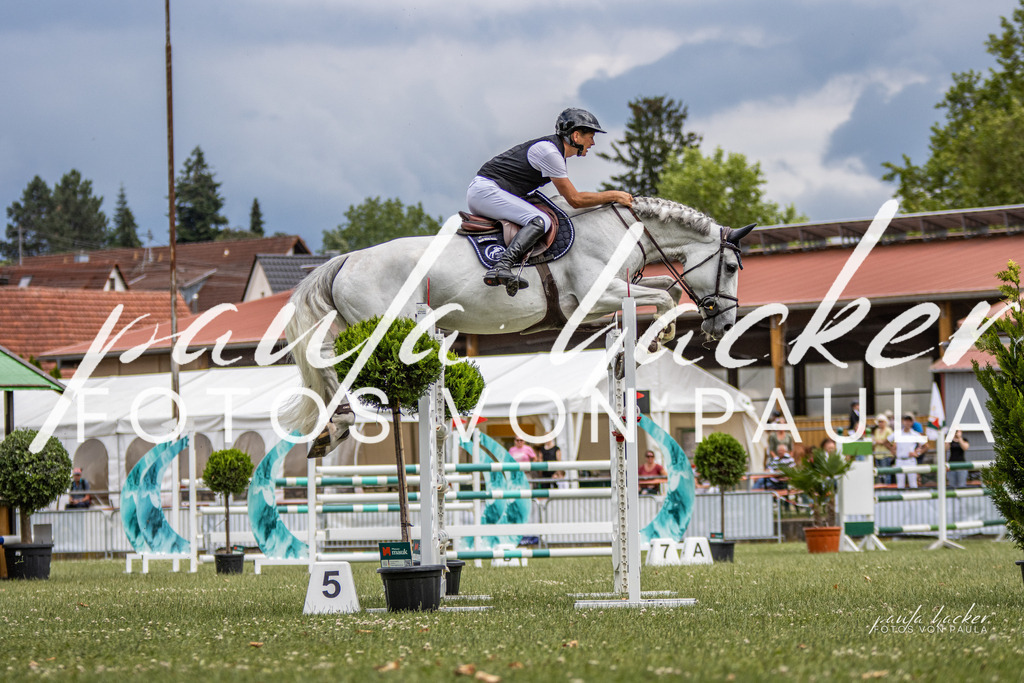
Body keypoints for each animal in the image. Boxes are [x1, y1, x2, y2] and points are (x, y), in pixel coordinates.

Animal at [283, 196, 753, 451]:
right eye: (731, 267)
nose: (723, 324)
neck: (622, 232)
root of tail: (346, 260)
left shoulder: (603, 298)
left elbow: (663, 292)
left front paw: (646, 345)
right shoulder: (596, 295)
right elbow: (665, 297)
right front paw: (656, 339)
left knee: (326, 359)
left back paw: (333, 426)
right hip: (382, 327)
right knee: (335, 362)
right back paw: (338, 423)